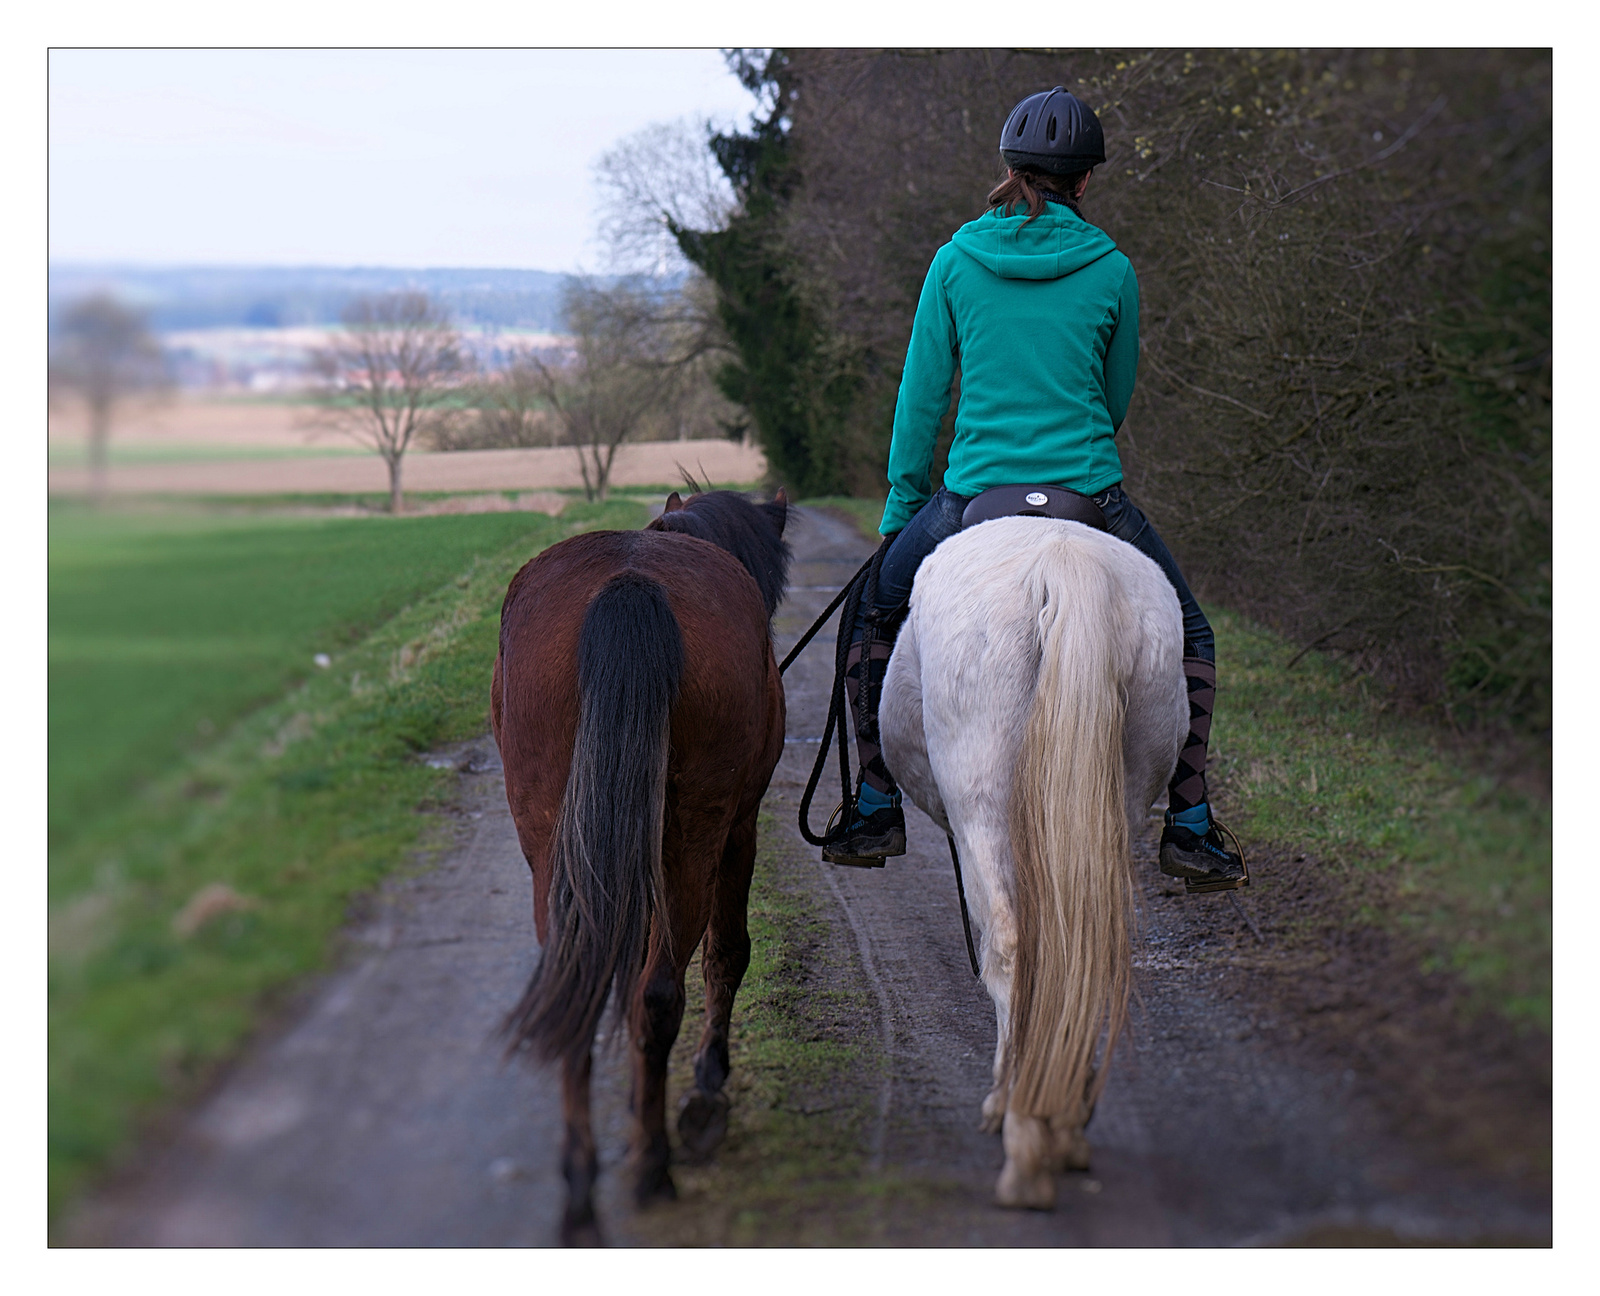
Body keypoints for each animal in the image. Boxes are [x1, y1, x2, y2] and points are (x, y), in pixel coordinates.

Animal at [486, 486, 787, 1241]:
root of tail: (630, 585)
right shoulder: (740, 827)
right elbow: (726, 954)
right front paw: (707, 1088)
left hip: (552, 841)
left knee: (581, 984)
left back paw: (581, 1193)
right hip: (695, 833)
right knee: (660, 994)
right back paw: (655, 1163)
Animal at [876, 512, 1190, 1203]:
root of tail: (1058, 561)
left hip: (982, 805)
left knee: (1011, 950)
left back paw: (1020, 1131)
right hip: (1120, 800)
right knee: (1087, 947)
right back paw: (1064, 1124)